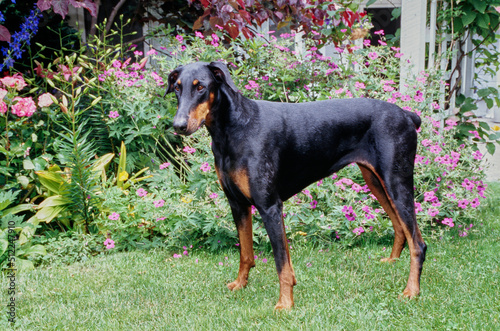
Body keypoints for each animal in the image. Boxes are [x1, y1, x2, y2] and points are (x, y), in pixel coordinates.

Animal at [166, 61, 428, 310]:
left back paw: (412, 291)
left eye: (201, 87)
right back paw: (392, 262)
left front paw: (285, 303)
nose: (178, 125)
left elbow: (281, 262)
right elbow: (246, 253)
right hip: (376, 181)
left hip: (396, 182)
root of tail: (407, 115)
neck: (234, 129)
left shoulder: (270, 206)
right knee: (401, 227)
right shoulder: (237, 204)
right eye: (177, 87)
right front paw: (241, 284)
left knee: (418, 243)